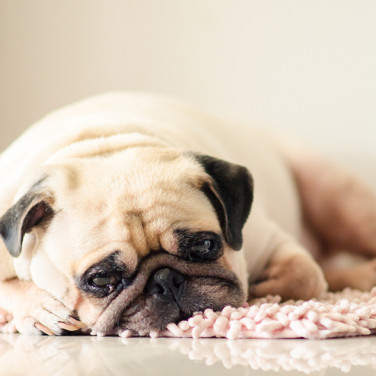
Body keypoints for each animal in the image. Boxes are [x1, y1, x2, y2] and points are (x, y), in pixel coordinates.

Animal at [0, 92, 376, 336]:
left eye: (205, 247)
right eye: (102, 280)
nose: (166, 280)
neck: (103, 144)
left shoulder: (269, 240)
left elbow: (304, 274)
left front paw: (263, 288)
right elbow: (9, 288)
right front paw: (41, 309)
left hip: (336, 196)